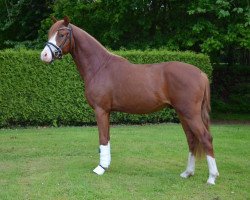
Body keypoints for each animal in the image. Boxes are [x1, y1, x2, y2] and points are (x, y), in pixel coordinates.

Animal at [41, 16, 219, 184]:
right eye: (50, 33)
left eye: (62, 34)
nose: (44, 55)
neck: (100, 67)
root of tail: (201, 73)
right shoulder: (107, 112)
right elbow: (107, 138)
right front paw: (106, 165)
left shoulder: (101, 110)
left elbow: (102, 139)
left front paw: (100, 168)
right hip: (183, 113)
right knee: (191, 139)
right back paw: (187, 173)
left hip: (190, 114)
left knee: (205, 138)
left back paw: (212, 177)